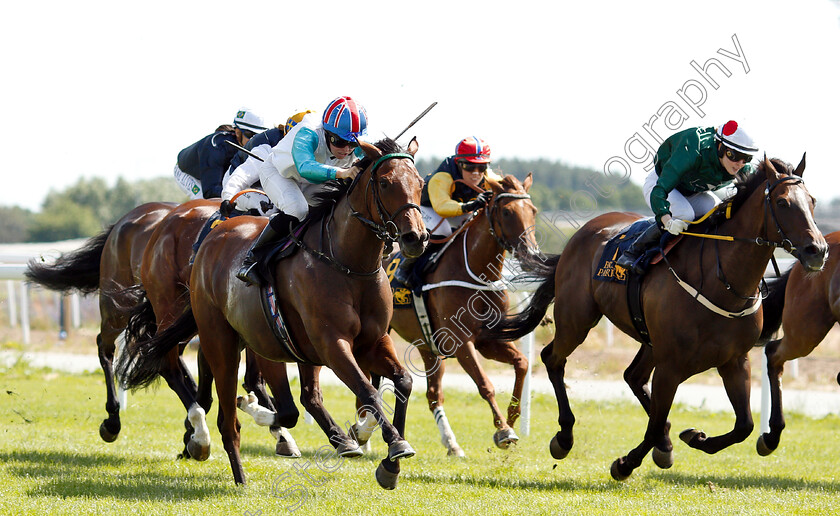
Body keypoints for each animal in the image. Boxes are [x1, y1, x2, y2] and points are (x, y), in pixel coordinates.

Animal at [118, 138, 426, 488]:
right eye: (385, 183)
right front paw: (393, 445)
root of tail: (211, 237)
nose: (416, 237)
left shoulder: (371, 342)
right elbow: (369, 391)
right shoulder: (332, 344)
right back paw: (235, 465)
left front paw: (385, 458)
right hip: (219, 341)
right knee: (225, 414)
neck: (347, 263)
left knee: (293, 401)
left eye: (420, 183)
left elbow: (402, 382)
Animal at [382, 173, 536, 456]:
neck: (478, 274)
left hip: (427, 346)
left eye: (533, 211)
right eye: (507, 212)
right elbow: (485, 385)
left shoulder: (488, 341)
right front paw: (504, 431)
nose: (531, 254)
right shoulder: (461, 341)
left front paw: (511, 418)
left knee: (433, 394)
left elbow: (522, 363)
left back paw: (452, 444)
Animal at [480, 156, 828, 480]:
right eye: (783, 202)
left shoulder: (734, 360)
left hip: (647, 339)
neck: (722, 280)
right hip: (577, 319)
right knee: (553, 358)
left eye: (812, 201)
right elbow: (655, 422)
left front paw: (695, 437)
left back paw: (665, 444)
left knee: (633, 376)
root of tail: (582, 233)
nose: (818, 250)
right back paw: (565, 438)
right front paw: (625, 464)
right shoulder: (671, 365)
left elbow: (744, 425)